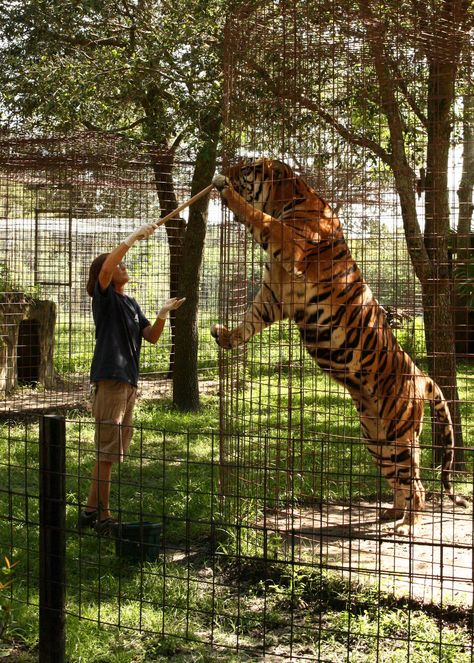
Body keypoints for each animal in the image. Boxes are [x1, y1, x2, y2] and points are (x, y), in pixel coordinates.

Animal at [212, 158, 466, 536]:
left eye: (245, 167)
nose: (224, 169)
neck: (286, 199)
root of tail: (422, 375)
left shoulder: (288, 243)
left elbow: (257, 217)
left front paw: (226, 192)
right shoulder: (273, 297)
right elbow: (249, 321)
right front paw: (225, 336)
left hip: (400, 434)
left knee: (418, 485)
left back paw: (408, 526)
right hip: (376, 439)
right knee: (401, 481)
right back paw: (392, 513)